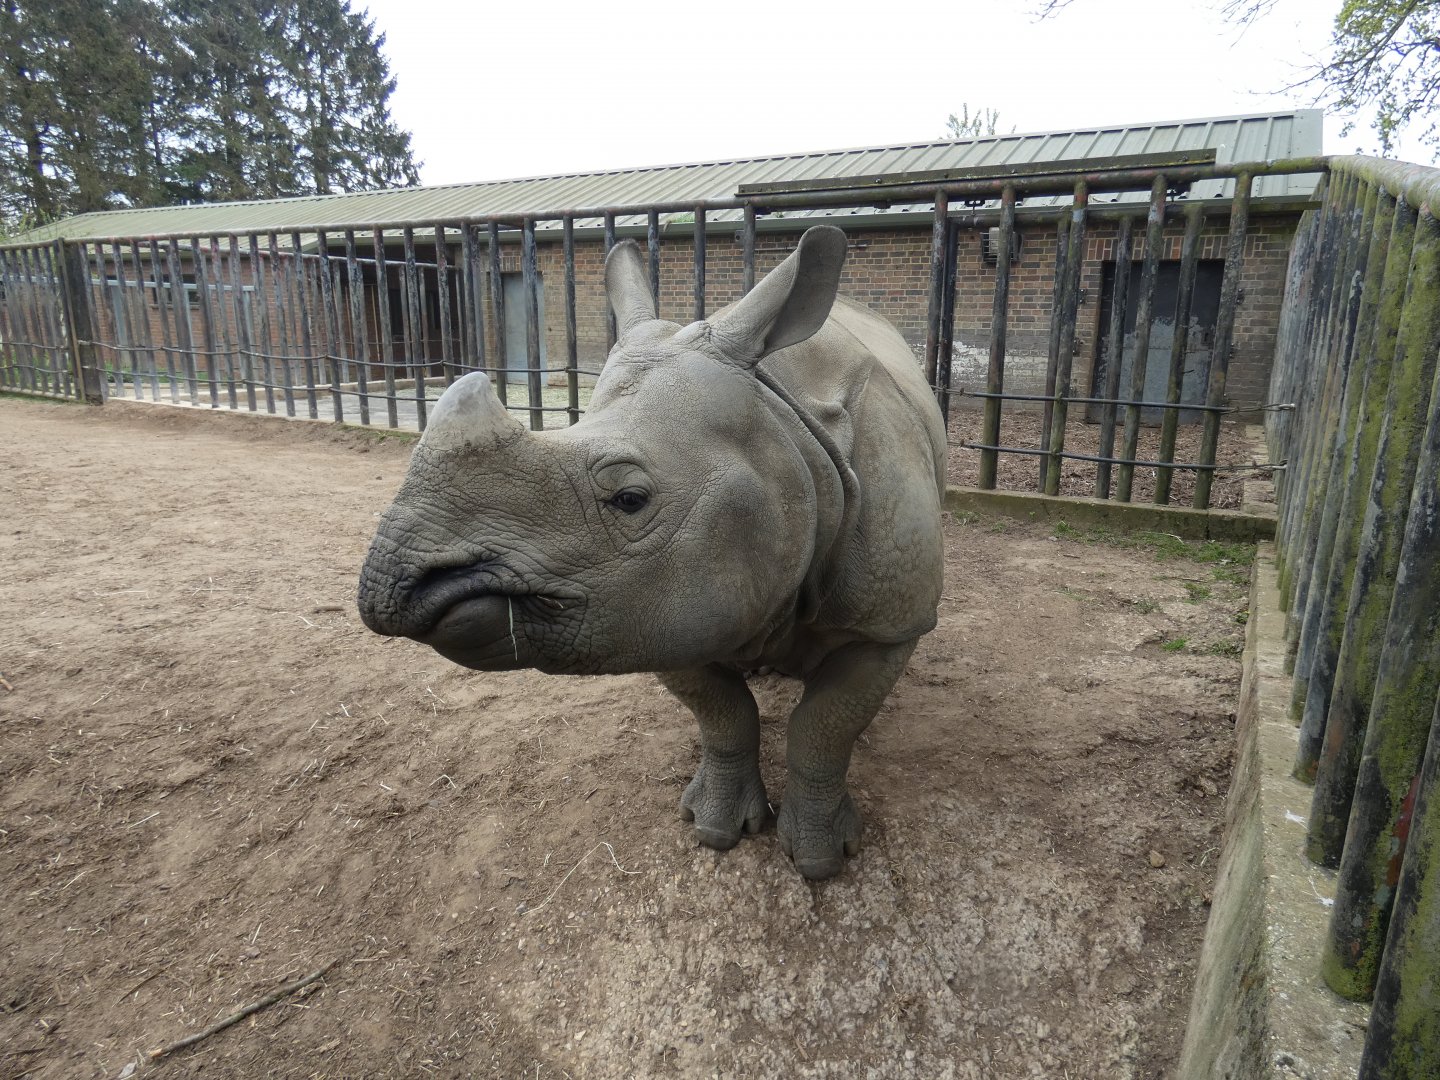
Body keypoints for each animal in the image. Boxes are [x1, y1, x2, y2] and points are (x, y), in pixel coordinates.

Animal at [357, 225, 945, 879]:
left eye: (630, 499)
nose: (398, 589)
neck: (785, 429)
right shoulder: (652, 604)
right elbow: (722, 713)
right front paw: (715, 828)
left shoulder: (887, 623)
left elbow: (824, 727)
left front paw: (819, 860)